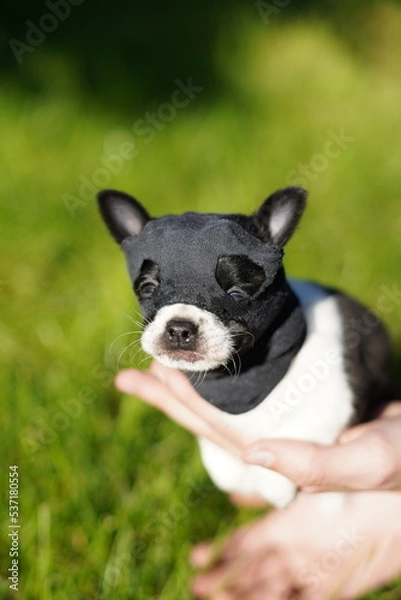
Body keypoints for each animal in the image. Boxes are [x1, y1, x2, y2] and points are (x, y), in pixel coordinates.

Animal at [97, 186, 394, 506]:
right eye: (148, 289)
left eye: (237, 294)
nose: (179, 328)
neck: (244, 378)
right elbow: (219, 462)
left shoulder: (333, 397)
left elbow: (298, 430)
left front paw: (272, 478)